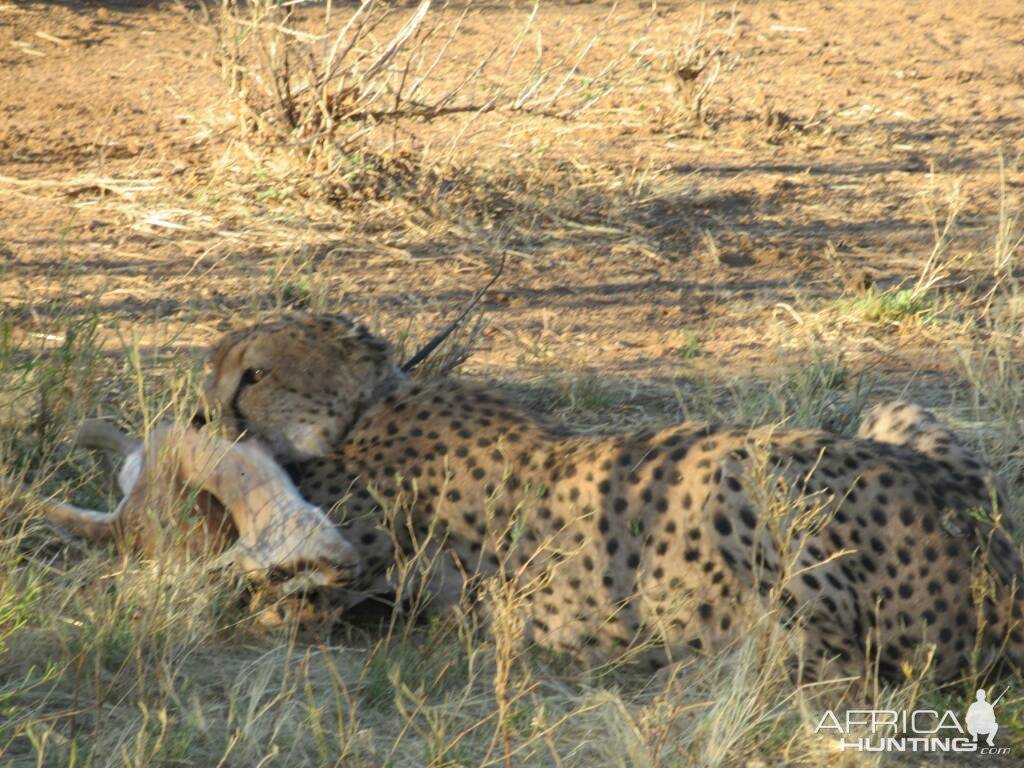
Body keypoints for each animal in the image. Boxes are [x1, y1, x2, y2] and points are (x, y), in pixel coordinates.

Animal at [186, 315, 1024, 684]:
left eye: (254, 372)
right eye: (216, 366)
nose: (202, 416)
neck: (373, 404)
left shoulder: (326, 570)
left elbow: (254, 592)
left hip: (737, 466)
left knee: (833, 668)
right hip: (896, 410)